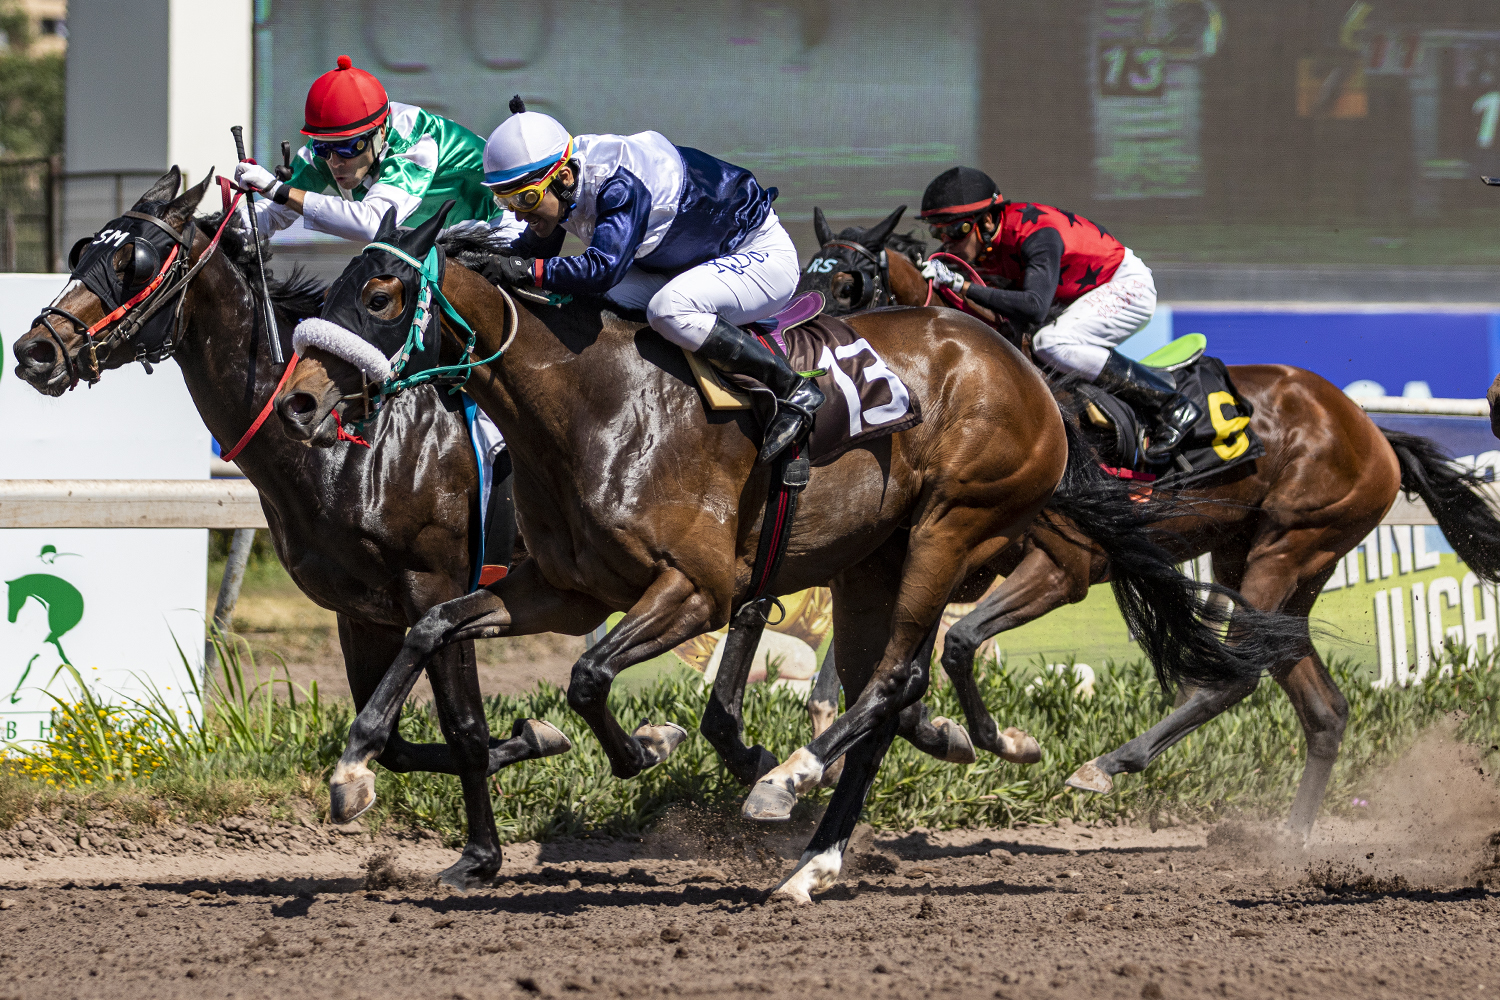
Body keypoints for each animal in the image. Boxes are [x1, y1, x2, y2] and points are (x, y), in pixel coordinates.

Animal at [10, 169, 571, 888]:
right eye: (82, 252)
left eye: (132, 261)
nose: (32, 351)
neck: (353, 446)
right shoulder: (360, 610)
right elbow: (394, 742)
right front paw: (531, 738)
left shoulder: (438, 586)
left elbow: (465, 726)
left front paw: (481, 854)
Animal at [267, 205, 1314, 901]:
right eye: (334, 286)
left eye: (380, 291)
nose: (301, 401)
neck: (586, 401)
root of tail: (1023, 371)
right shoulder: (556, 587)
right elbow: (438, 627)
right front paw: (354, 769)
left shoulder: (698, 585)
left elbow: (590, 677)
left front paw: (654, 746)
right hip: (870, 561)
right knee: (886, 691)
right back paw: (817, 859)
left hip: (951, 526)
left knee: (895, 679)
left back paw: (790, 785)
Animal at [799, 205, 1500, 838]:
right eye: (808, 273)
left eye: (849, 283)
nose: (818, 358)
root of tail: (1372, 430)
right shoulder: (947, 556)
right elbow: (863, 663)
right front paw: (850, 742)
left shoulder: (1063, 565)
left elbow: (961, 642)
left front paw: (1003, 741)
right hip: (1263, 569)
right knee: (1321, 707)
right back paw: (1291, 844)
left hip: (1287, 549)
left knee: (1237, 675)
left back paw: (1108, 764)